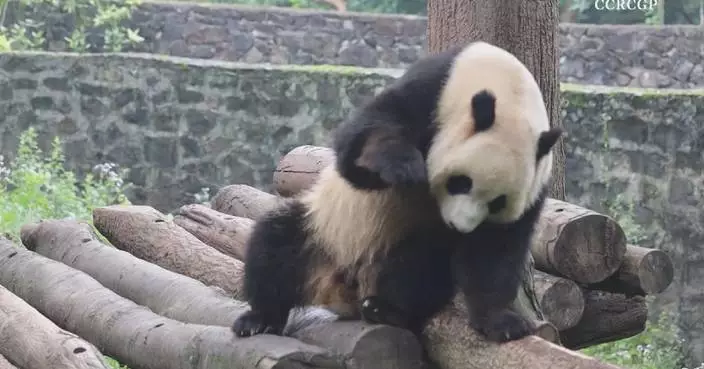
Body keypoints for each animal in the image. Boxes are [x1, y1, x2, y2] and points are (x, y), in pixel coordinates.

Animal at [234, 40, 564, 342]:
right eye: (462, 182)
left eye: (497, 203)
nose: (458, 227)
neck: (506, 88)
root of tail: (342, 289)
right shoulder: (433, 91)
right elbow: (364, 140)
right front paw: (404, 167)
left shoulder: (536, 180)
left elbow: (494, 250)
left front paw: (502, 321)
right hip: (325, 232)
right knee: (277, 245)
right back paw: (259, 318)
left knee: (423, 271)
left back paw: (386, 309)